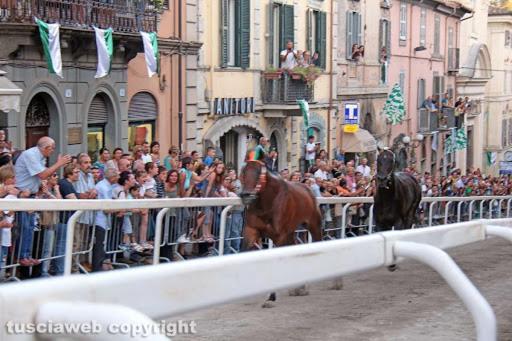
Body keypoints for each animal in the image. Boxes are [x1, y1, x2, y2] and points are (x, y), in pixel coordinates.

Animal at [239, 159, 320, 306]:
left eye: (259, 173)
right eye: (243, 172)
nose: (246, 195)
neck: (267, 204)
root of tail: (308, 188)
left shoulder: (280, 235)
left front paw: (271, 296)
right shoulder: (252, 230)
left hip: (314, 224)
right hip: (291, 232)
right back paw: (299, 286)